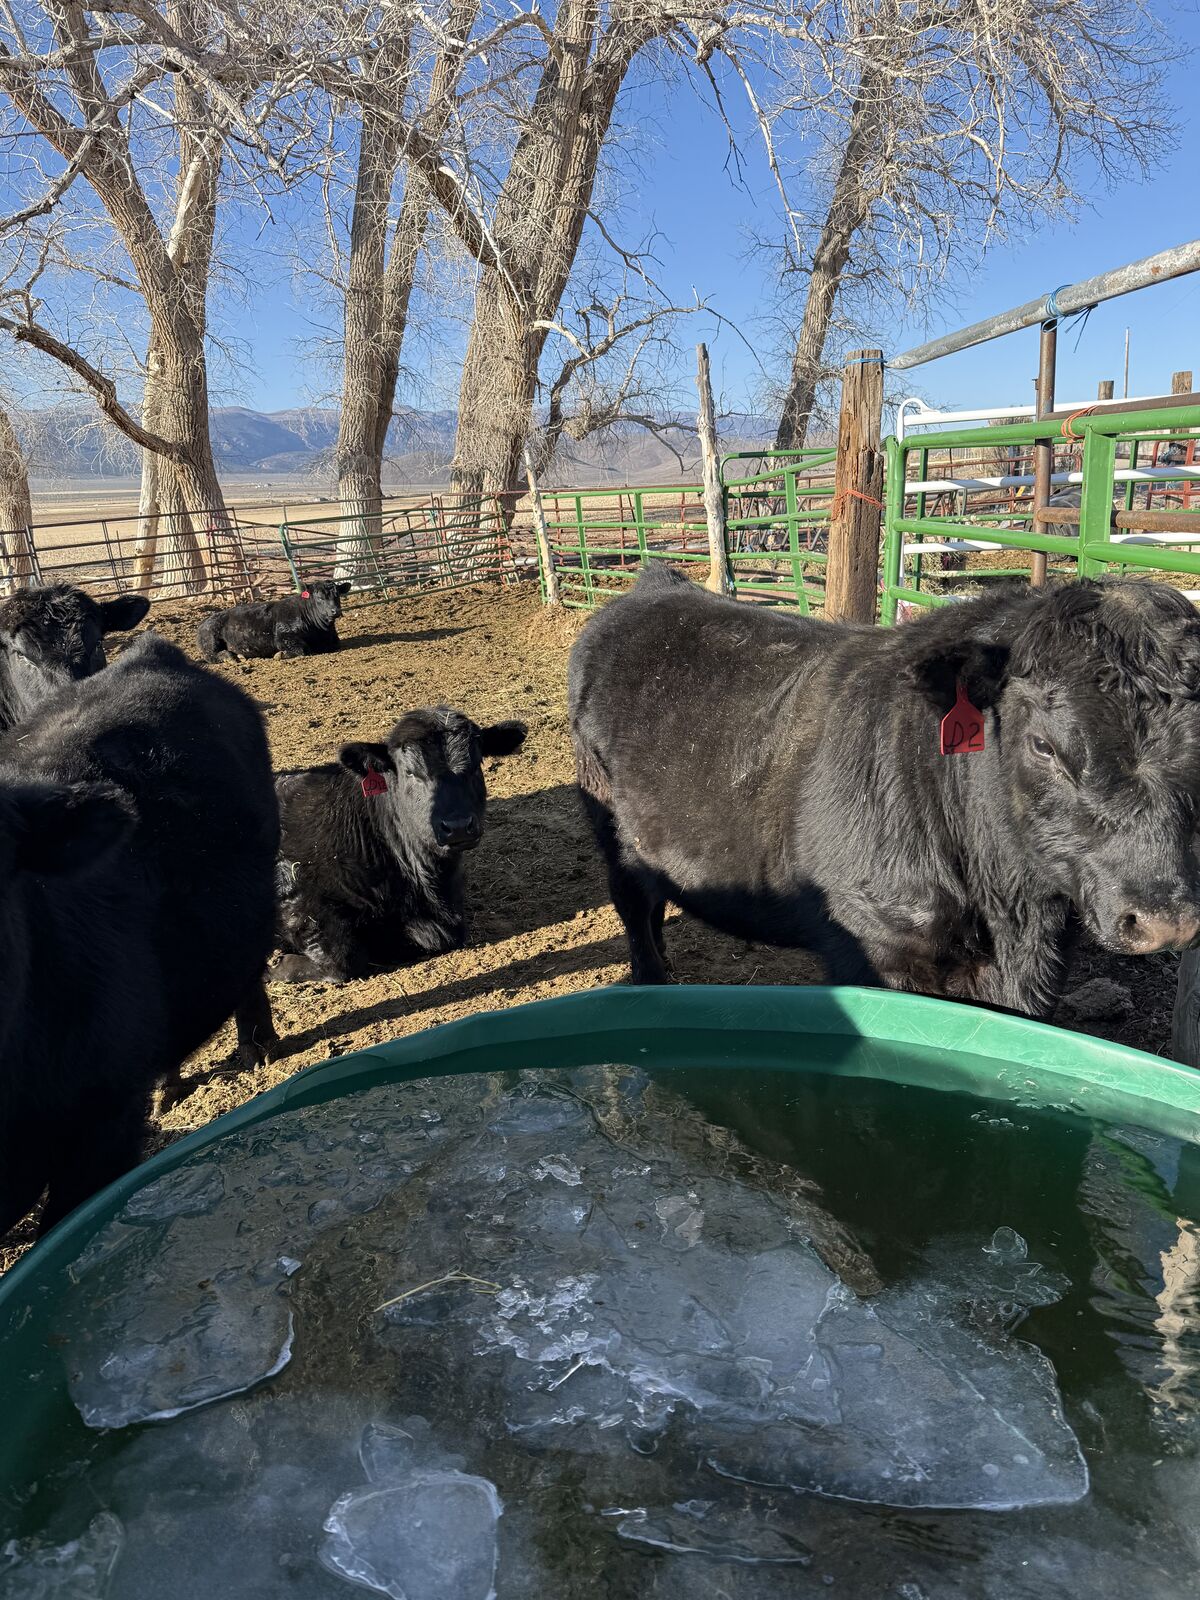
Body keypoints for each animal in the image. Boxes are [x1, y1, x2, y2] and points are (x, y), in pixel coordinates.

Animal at [196, 580, 351, 662]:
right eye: (319, 598)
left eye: (337, 595)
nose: (335, 611)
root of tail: (203, 622)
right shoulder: (283, 638)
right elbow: (302, 649)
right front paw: (280, 654)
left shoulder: (333, 640)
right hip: (211, 640)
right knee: (212, 655)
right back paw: (232, 656)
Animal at [273, 707, 527, 983]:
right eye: (410, 772)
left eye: (477, 764)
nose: (458, 825)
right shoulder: (299, 896)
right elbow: (343, 960)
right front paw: (274, 966)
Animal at [568, 565, 1200, 1019]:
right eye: (1043, 745)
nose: (1163, 919)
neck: (1006, 905)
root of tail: (656, 584)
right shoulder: (876, 945)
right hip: (611, 830)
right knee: (636, 911)